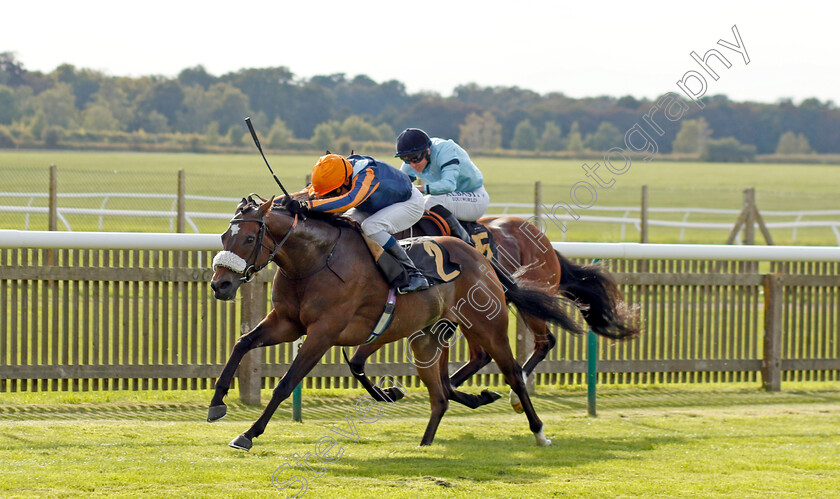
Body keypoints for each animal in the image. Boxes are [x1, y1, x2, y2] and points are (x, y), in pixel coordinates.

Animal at [208, 195, 584, 450]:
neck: (316, 260)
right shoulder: (287, 322)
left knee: (515, 371)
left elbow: (286, 383)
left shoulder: (324, 332)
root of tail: (480, 258)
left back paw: (538, 430)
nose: (220, 285)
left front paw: (248, 433)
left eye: (248, 238)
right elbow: (242, 343)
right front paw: (217, 404)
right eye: (224, 237)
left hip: (488, 326)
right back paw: (429, 439)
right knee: (441, 393)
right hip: (428, 338)